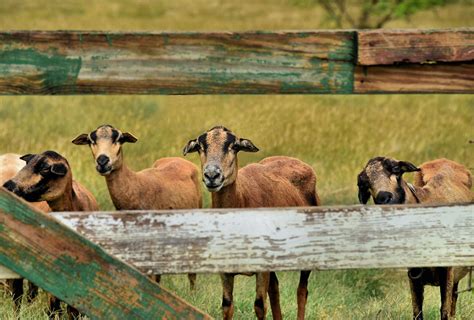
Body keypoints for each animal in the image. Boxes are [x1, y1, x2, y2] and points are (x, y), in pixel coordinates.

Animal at [183, 126, 320, 320]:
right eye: (201, 147)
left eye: (233, 146)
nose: (212, 175)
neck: (242, 200)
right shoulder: (226, 269)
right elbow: (227, 306)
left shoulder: (262, 269)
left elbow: (260, 306)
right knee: (275, 290)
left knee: (302, 291)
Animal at [358, 156, 472, 318]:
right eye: (365, 183)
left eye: (396, 169)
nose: (384, 198)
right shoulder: (414, 275)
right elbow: (417, 312)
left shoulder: (447, 272)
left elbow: (444, 311)